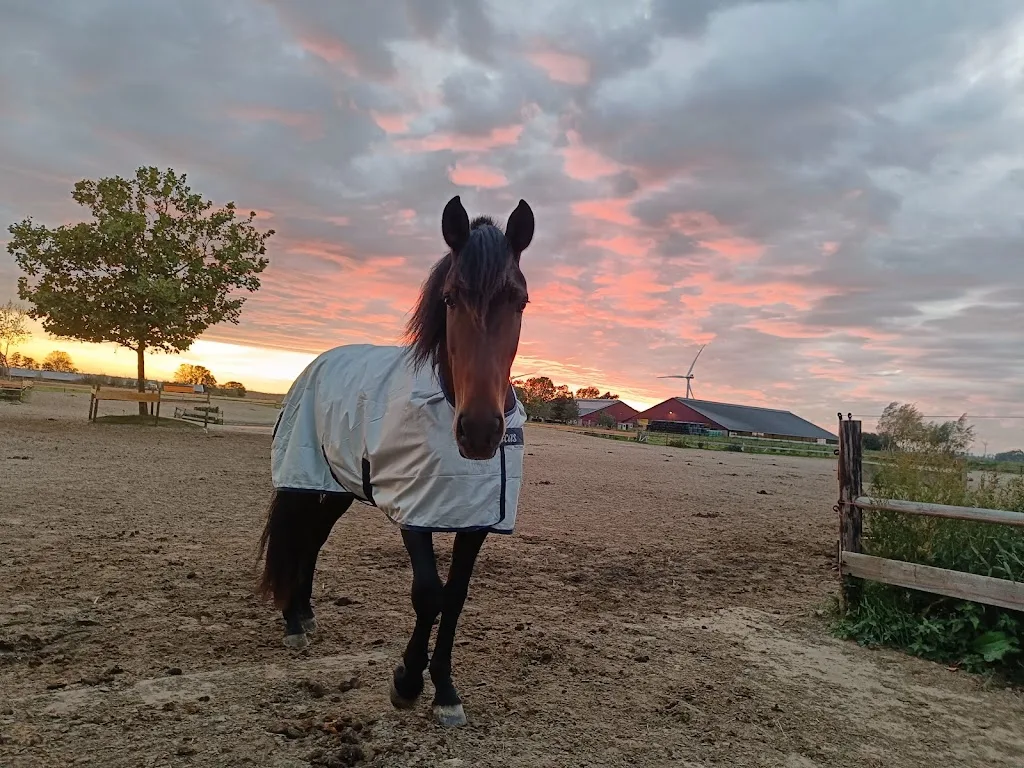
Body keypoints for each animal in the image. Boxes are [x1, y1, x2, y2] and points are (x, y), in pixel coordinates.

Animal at [257, 195, 535, 728]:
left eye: (520, 301)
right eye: (450, 299)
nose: (480, 431)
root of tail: (316, 363)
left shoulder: (477, 519)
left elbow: (455, 597)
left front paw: (445, 689)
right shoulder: (414, 509)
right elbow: (428, 593)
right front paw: (406, 682)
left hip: (339, 488)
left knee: (312, 541)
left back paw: (304, 613)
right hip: (303, 480)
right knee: (296, 536)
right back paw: (291, 621)